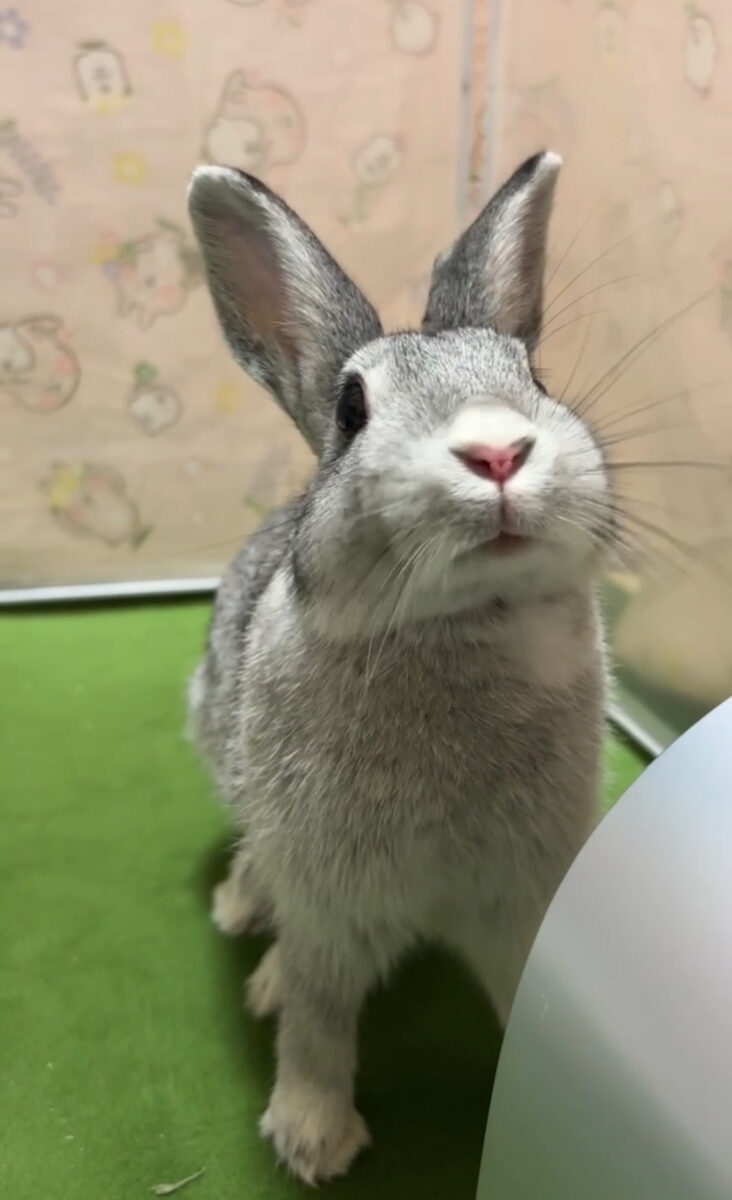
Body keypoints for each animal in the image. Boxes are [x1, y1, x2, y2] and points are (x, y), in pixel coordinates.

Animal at [186, 150, 610, 1184]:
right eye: (351, 409)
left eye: (534, 375)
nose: (496, 451)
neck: (457, 625)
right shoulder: (329, 903)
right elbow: (317, 1018)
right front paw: (311, 1138)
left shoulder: (517, 897)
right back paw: (244, 931)